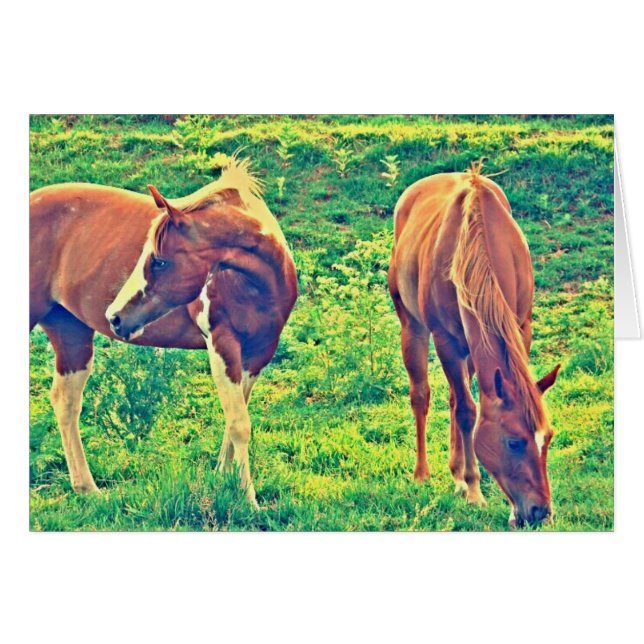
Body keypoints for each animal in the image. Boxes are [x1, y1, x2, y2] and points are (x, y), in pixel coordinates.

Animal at [30, 158, 298, 507]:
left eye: (158, 261)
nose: (115, 317)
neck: (259, 284)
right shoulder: (223, 346)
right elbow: (239, 423)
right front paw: (249, 499)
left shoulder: (257, 353)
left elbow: (234, 418)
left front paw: (225, 480)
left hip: (70, 332)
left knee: (66, 401)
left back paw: (86, 488)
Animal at [388, 164, 560, 528]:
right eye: (513, 442)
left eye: (548, 438)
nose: (539, 513)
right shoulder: (448, 341)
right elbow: (468, 412)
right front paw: (473, 488)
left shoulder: (520, 328)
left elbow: (468, 405)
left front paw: (466, 481)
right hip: (413, 327)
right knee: (422, 395)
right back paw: (424, 474)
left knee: (455, 397)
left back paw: (455, 473)